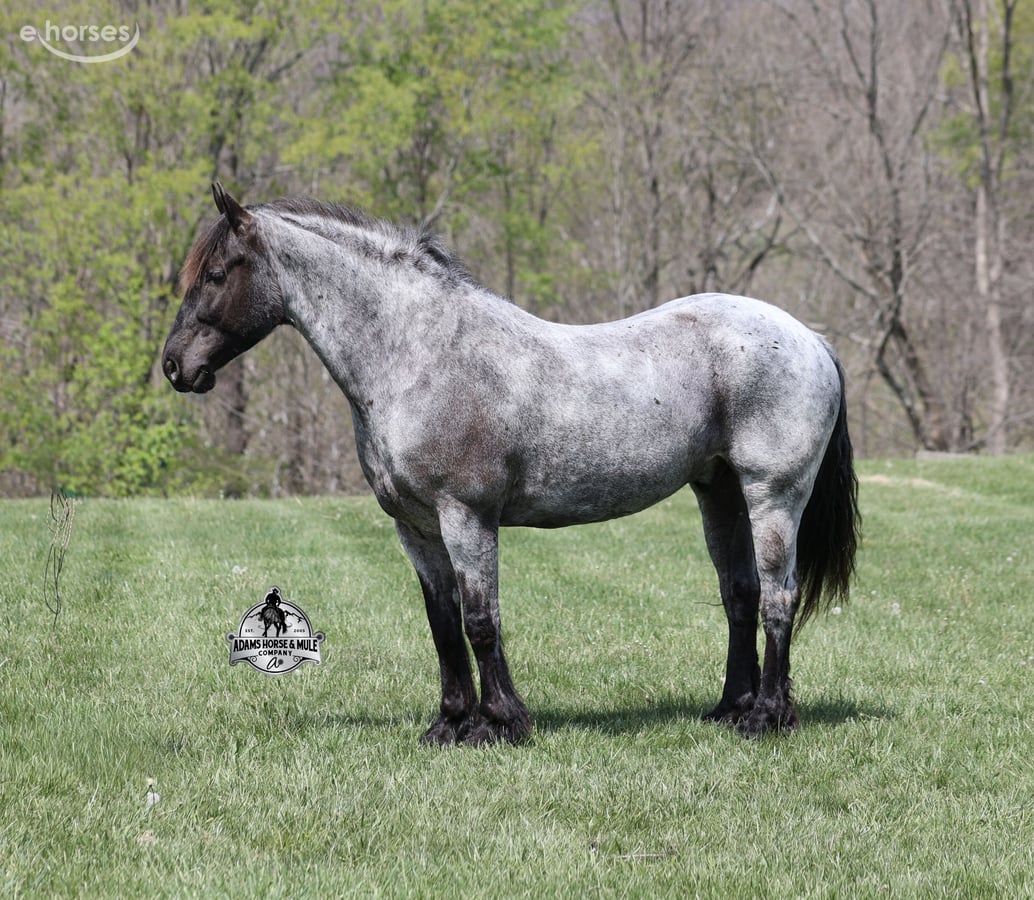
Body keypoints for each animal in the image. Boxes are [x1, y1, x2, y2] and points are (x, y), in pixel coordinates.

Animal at [163, 183, 860, 744]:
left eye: (216, 274)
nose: (174, 365)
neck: (418, 354)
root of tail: (812, 339)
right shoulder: (415, 527)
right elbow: (443, 623)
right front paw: (449, 724)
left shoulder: (466, 516)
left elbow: (480, 620)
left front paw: (498, 723)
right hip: (718, 492)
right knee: (740, 593)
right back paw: (729, 709)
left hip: (773, 496)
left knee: (778, 596)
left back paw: (767, 717)